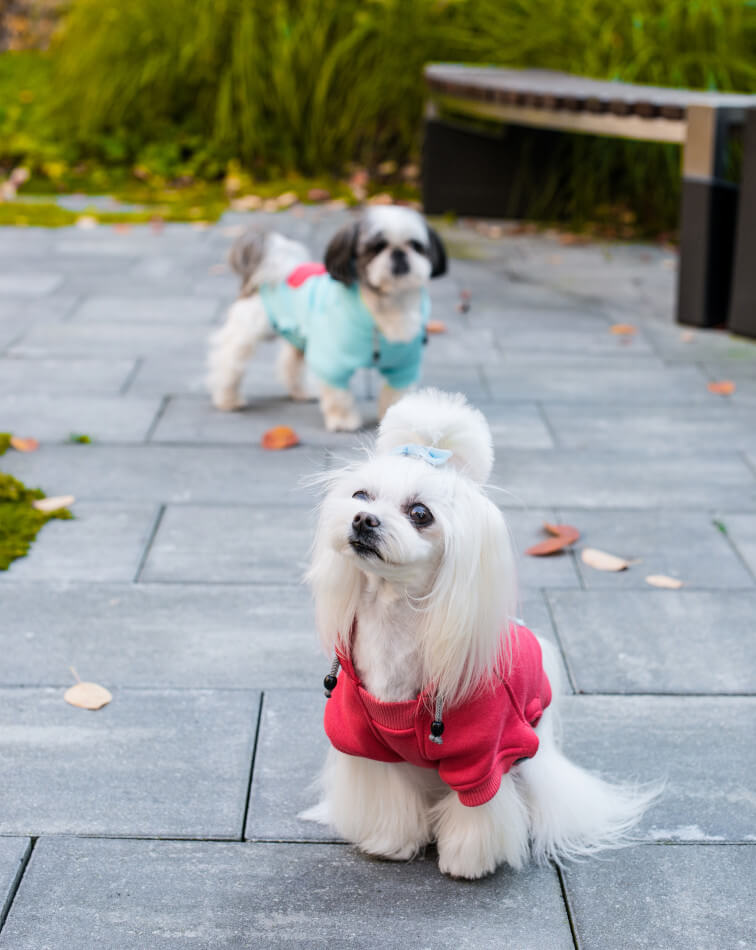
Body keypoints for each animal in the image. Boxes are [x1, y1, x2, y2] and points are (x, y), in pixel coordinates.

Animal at [204, 208, 446, 436]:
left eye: (416, 246)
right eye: (377, 247)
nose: (399, 253)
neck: (385, 307)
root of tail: (279, 267)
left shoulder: (404, 367)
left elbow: (397, 396)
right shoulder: (333, 361)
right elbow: (339, 395)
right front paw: (343, 420)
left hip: (300, 336)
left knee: (291, 363)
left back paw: (300, 392)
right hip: (247, 330)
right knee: (230, 361)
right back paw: (228, 399)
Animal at [304, 390, 660, 880]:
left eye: (420, 513)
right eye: (361, 495)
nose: (362, 520)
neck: (397, 624)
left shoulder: (483, 752)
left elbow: (478, 809)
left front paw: (467, 862)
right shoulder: (366, 741)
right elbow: (390, 797)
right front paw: (390, 843)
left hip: (530, 753)